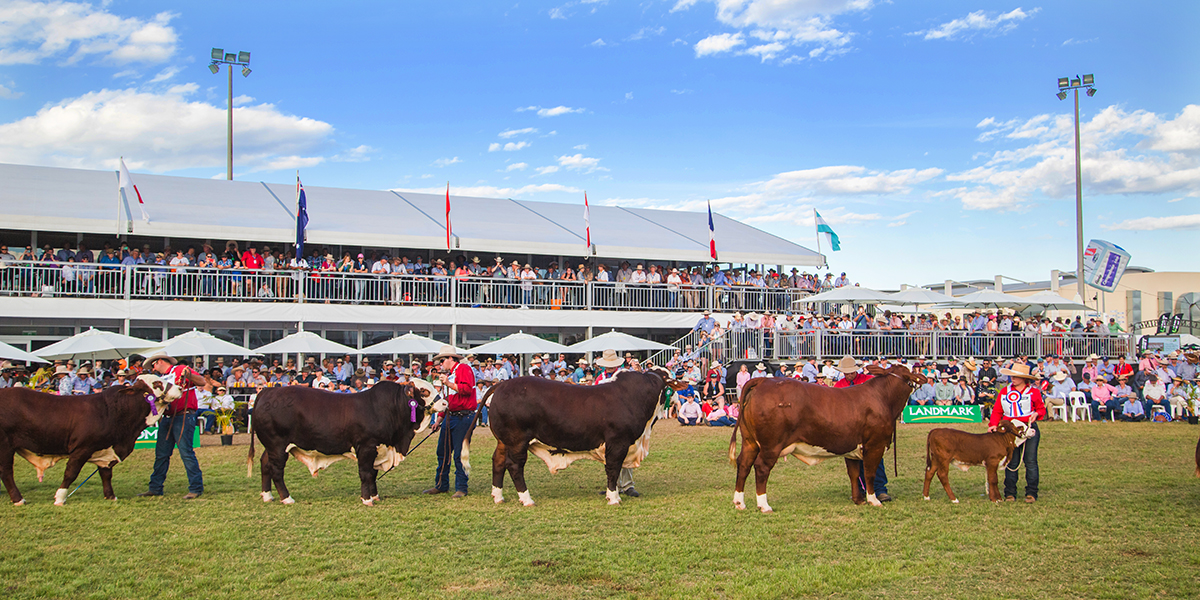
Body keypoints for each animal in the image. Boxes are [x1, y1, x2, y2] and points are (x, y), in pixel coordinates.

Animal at [0, 374, 180, 506]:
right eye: (157, 383)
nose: (179, 387)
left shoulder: (106, 451)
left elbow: (106, 474)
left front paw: (111, 496)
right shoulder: (82, 449)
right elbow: (70, 473)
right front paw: (60, 498)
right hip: (5, 446)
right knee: (6, 473)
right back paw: (19, 500)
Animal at [247, 379, 441, 506]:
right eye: (424, 391)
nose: (445, 404)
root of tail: (267, 391)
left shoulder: (378, 449)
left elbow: (373, 474)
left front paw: (374, 496)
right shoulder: (366, 447)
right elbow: (365, 473)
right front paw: (367, 500)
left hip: (271, 446)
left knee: (265, 464)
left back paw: (267, 496)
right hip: (278, 445)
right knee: (276, 471)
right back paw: (287, 498)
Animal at [724, 362, 921, 513]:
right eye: (910, 373)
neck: (883, 398)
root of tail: (763, 380)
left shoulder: (851, 448)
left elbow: (854, 474)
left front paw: (858, 500)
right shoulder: (875, 445)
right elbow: (870, 473)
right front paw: (873, 500)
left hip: (750, 441)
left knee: (744, 464)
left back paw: (739, 503)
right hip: (771, 445)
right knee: (761, 467)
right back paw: (764, 505)